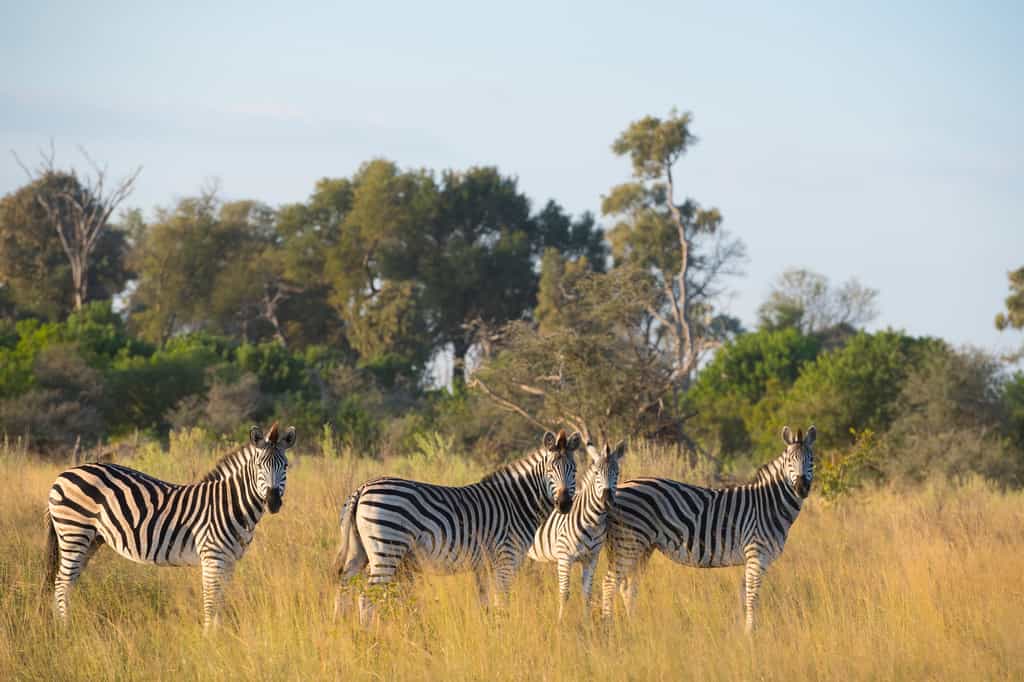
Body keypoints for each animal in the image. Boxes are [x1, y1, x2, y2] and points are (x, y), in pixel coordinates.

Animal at [44, 422, 295, 629]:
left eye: (285, 466)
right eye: (260, 465)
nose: (273, 502)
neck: (231, 504)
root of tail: (63, 474)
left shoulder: (230, 560)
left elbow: (221, 601)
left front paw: (221, 636)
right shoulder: (212, 556)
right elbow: (211, 602)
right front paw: (209, 640)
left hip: (91, 539)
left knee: (68, 581)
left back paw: (64, 625)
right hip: (74, 532)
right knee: (62, 582)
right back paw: (65, 629)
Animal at [333, 429, 581, 625]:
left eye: (574, 470)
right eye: (550, 470)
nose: (564, 504)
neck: (515, 503)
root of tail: (362, 488)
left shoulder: (483, 565)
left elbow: (485, 604)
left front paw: (488, 633)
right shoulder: (506, 559)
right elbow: (502, 602)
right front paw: (504, 634)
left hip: (359, 552)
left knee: (343, 586)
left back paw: (342, 633)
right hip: (386, 550)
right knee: (366, 598)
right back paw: (367, 640)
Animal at [528, 440, 625, 620]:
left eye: (617, 472)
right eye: (596, 473)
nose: (607, 500)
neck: (593, 521)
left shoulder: (591, 558)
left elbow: (587, 593)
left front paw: (587, 623)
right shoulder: (565, 557)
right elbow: (564, 593)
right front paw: (560, 623)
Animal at [601, 425, 816, 632]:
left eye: (812, 460)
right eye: (789, 461)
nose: (802, 488)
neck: (769, 503)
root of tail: (620, 486)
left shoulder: (751, 557)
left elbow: (744, 595)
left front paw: (740, 629)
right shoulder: (757, 554)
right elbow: (752, 596)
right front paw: (751, 632)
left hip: (643, 547)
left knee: (628, 587)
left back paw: (633, 625)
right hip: (629, 543)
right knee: (609, 583)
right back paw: (608, 627)